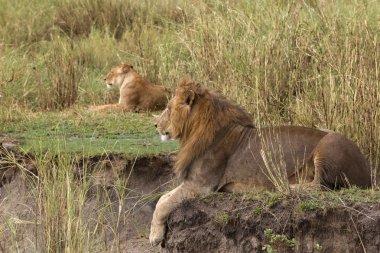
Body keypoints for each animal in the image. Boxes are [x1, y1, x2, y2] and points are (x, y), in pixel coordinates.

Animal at [150, 78, 372, 245]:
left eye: (168, 108)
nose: (155, 125)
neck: (195, 131)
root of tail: (368, 171)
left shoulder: (202, 184)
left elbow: (164, 203)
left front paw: (154, 237)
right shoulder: (193, 182)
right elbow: (163, 197)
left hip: (328, 143)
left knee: (320, 186)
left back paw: (286, 186)